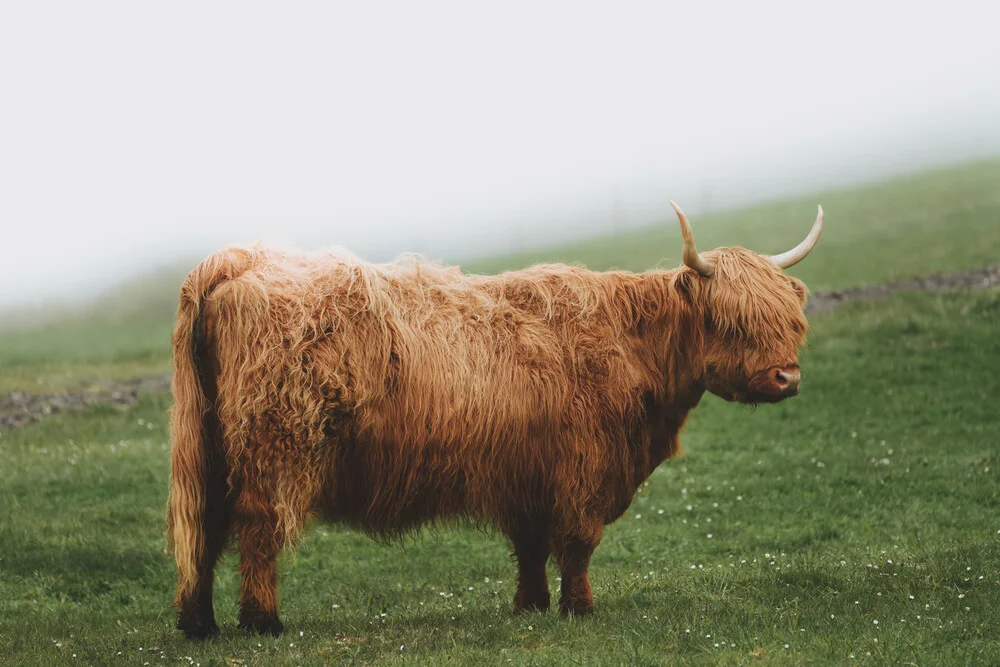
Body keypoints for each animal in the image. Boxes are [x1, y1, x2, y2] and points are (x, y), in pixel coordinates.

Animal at [166, 202, 820, 636]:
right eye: (730, 321)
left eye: (791, 319)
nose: (787, 378)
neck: (632, 345)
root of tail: (238, 260)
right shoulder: (583, 468)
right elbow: (577, 543)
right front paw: (580, 609)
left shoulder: (526, 471)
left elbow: (530, 544)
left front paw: (530, 606)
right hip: (276, 447)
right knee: (256, 528)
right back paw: (262, 620)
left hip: (209, 446)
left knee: (205, 528)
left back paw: (200, 624)